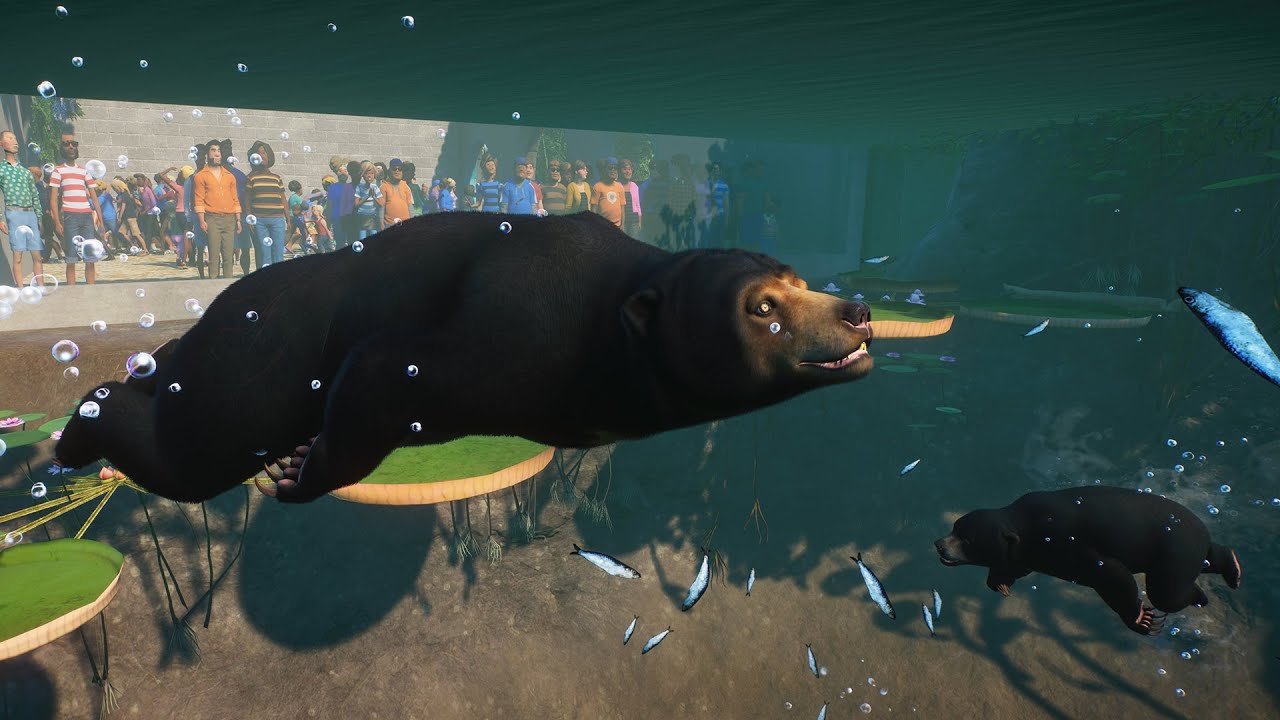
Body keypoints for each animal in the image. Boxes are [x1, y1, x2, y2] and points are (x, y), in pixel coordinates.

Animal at [54, 211, 874, 504]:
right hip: (254, 358)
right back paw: (77, 430)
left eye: (799, 279)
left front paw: (293, 466)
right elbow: (383, 366)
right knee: (189, 452)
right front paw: (296, 473)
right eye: (763, 307)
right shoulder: (510, 328)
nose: (857, 312)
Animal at [934, 486, 1241, 635]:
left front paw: (1142, 619)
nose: (939, 545)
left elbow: (1111, 572)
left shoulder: (1063, 539)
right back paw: (1232, 568)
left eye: (968, 540)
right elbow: (1017, 566)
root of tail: (1201, 530)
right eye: (954, 526)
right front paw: (1000, 583)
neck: (1024, 527)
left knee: (1167, 591)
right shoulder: (1031, 551)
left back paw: (1202, 595)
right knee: (1208, 559)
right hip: (1189, 549)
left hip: (1174, 550)